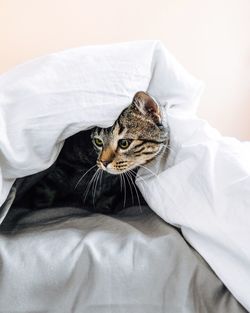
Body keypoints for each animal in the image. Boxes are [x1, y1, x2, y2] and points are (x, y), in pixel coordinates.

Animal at [11, 91, 168, 214]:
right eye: (98, 142)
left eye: (124, 143)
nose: (104, 162)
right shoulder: (55, 171)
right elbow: (45, 194)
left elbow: (109, 196)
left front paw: (103, 207)